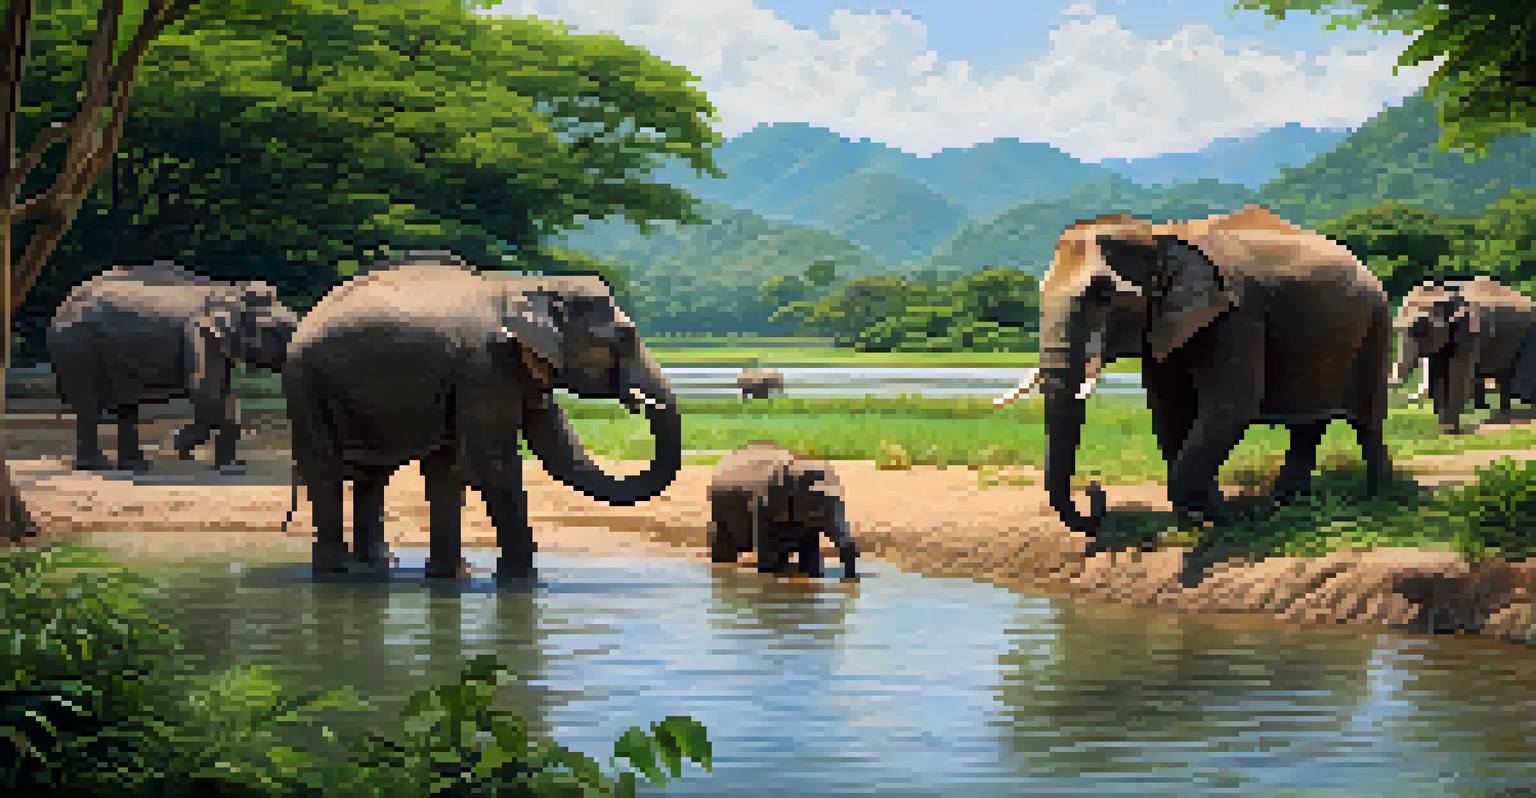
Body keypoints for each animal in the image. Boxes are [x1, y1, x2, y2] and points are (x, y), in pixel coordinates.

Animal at [45, 261, 299, 473]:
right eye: (277, 330)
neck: (229, 291)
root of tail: (61, 306)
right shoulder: (199, 334)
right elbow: (204, 390)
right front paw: (179, 443)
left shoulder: (218, 343)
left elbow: (224, 395)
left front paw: (232, 467)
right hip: (76, 346)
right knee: (88, 405)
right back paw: (97, 466)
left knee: (127, 406)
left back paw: (136, 466)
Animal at [282, 251, 683, 580]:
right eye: (625, 336)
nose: (642, 402)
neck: (530, 285)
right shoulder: (487, 365)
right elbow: (495, 463)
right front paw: (522, 582)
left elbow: (473, 464)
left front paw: (456, 577)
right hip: (304, 385)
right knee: (326, 470)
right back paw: (335, 572)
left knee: (375, 474)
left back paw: (378, 568)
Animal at [706, 441, 858, 578]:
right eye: (821, 506)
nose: (852, 578)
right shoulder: (763, 502)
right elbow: (767, 546)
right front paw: (769, 573)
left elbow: (810, 549)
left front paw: (812, 575)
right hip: (718, 508)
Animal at [997, 205, 1393, 534]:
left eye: (1104, 296)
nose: (1096, 490)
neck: (1158, 236)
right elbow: (1169, 409)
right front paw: (1199, 517)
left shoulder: (1237, 315)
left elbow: (1230, 407)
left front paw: (1225, 517)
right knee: (1308, 423)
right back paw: (1287, 504)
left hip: (1377, 322)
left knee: (1368, 421)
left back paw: (1380, 499)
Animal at [1388, 277, 1536, 433]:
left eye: (1421, 330)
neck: (1446, 291)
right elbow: (1440, 373)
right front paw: (1443, 429)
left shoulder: (1470, 332)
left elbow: (1456, 372)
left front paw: (1450, 431)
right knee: (1505, 372)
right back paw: (1503, 414)